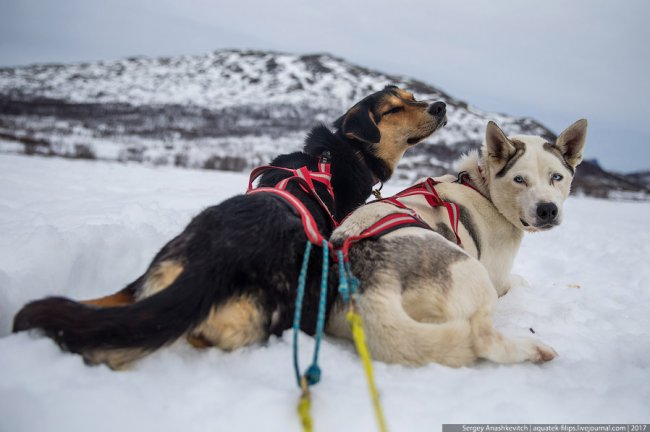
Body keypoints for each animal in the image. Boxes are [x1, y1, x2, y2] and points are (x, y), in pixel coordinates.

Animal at [12, 86, 446, 370]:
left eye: (411, 97)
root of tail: (216, 258)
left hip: (154, 274)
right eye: (393, 109)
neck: (347, 150)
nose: (441, 105)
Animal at [326, 120, 584, 366]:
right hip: (477, 277)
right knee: (482, 338)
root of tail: (369, 284)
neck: (483, 189)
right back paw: (535, 349)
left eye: (556, 177)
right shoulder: (498, 279)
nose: (547, 209)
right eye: (519, 179)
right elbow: (518, 281)